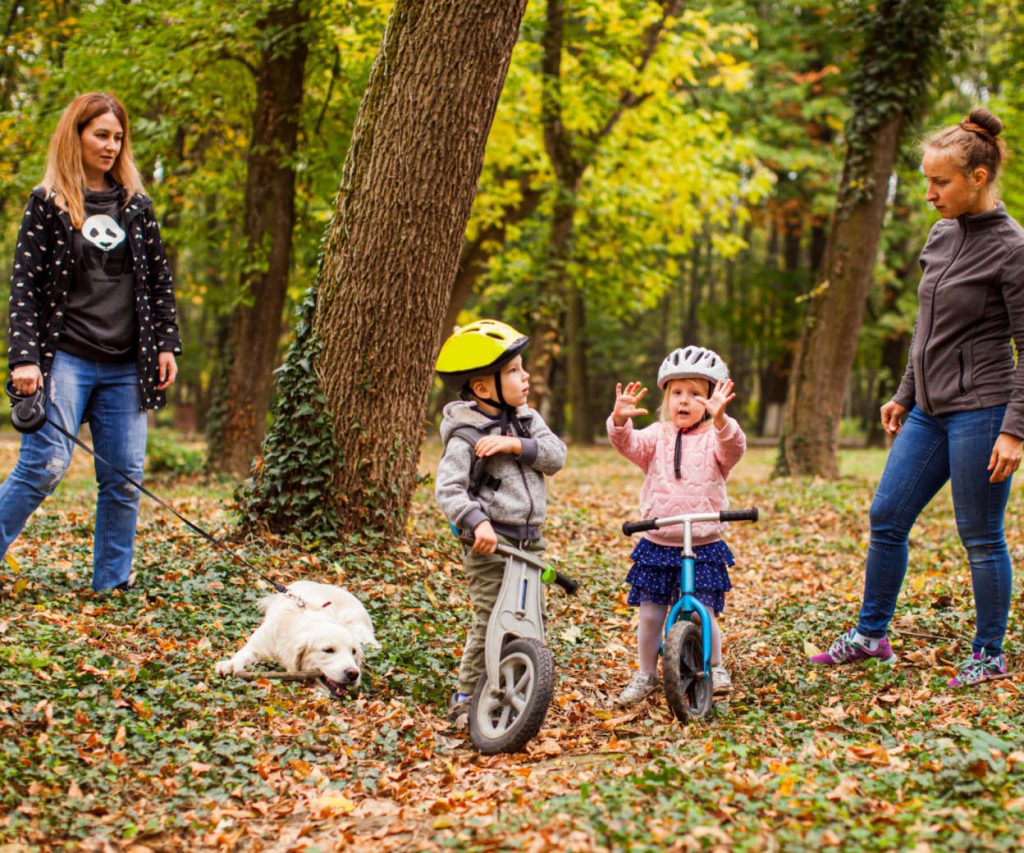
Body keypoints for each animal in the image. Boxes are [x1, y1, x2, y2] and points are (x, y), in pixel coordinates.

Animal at [215, 581, 377, 698]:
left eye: (353, 652)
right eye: (328, 650)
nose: (353, 673)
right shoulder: (259, 644)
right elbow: (242, 654)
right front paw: (229, 665)